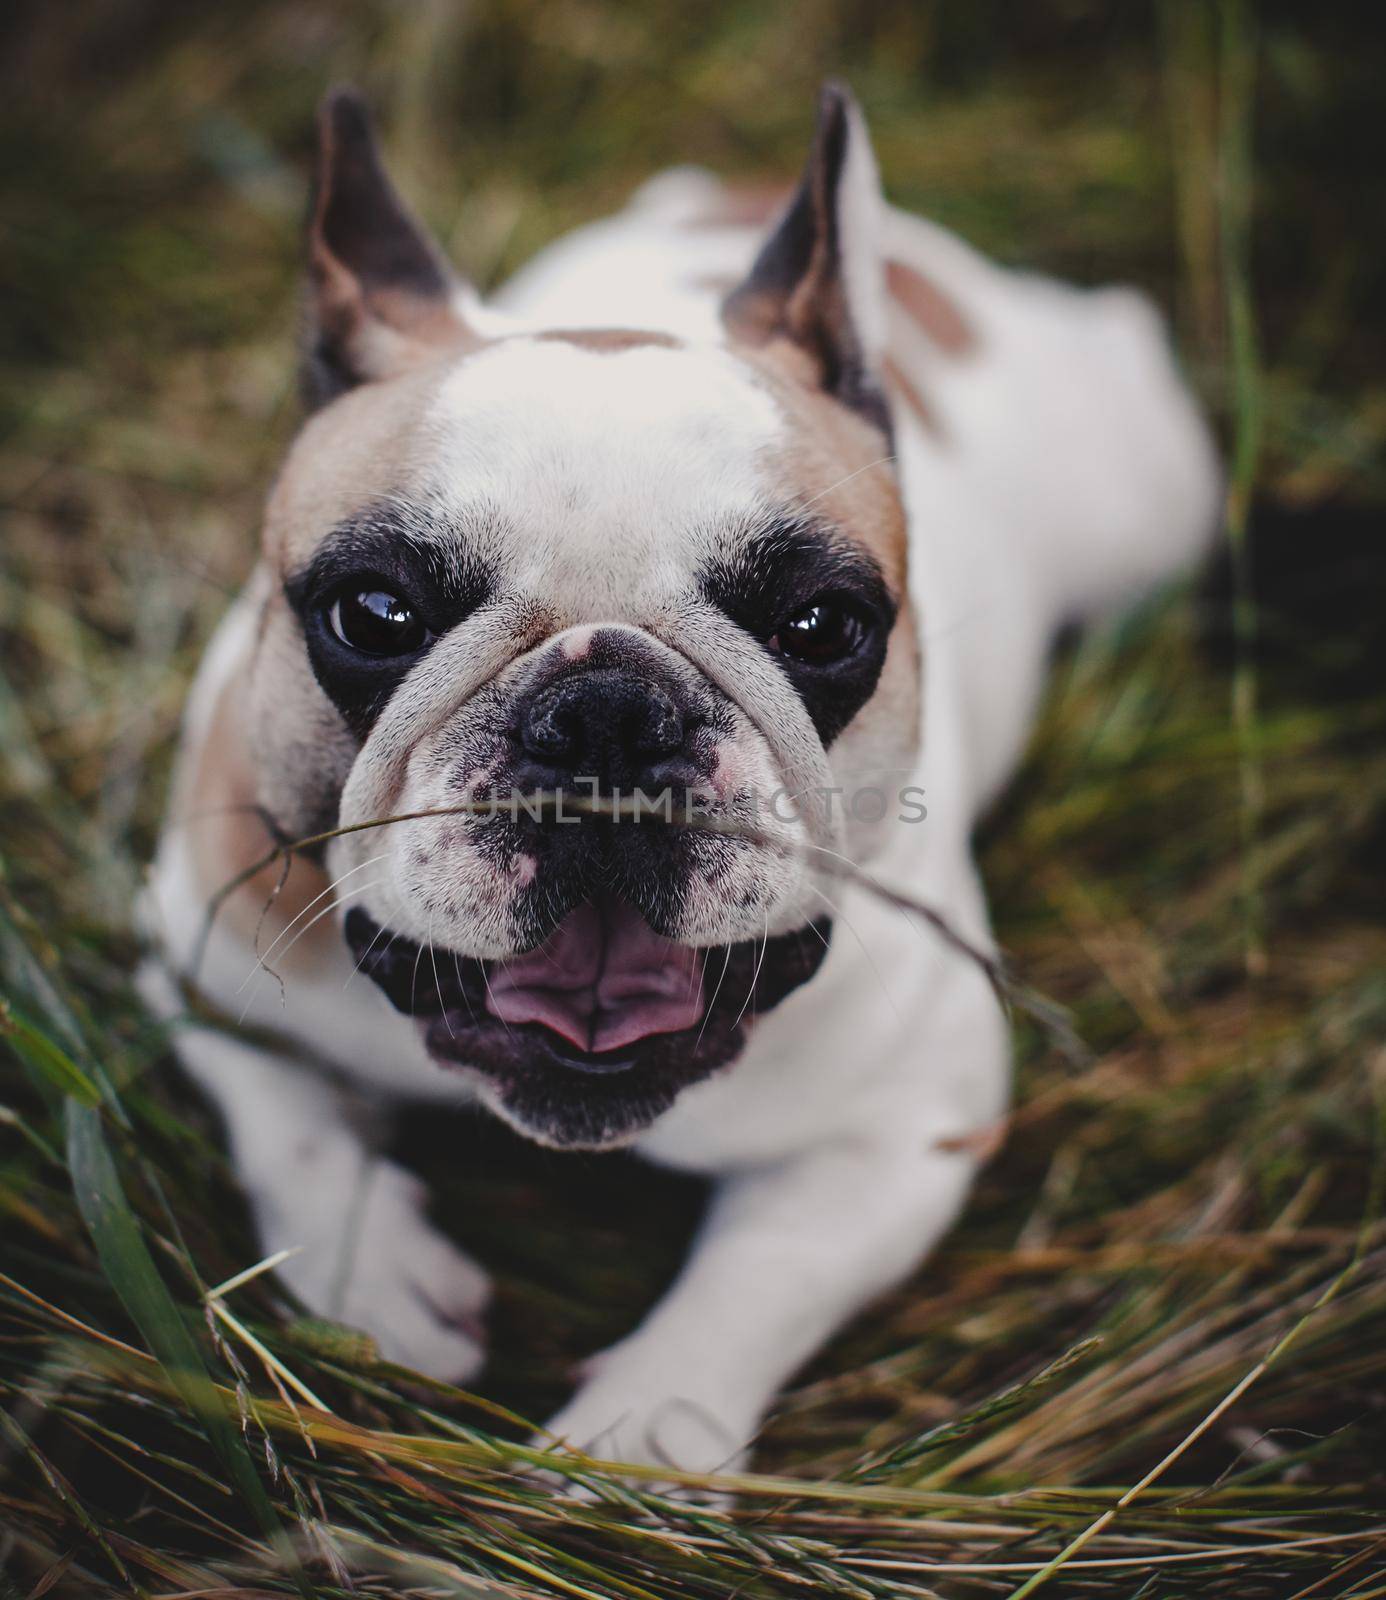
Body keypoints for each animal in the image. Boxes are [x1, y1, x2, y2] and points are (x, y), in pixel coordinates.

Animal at [145, 84, 1216, 1472]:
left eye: (822, 625)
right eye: (374, 612)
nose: (606, 714)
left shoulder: (911, 1118)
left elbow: (767, 1271)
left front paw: (635, 1445)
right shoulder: (193, 958)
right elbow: (284, 1115)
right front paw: (372, 1272)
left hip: (1154, 505)